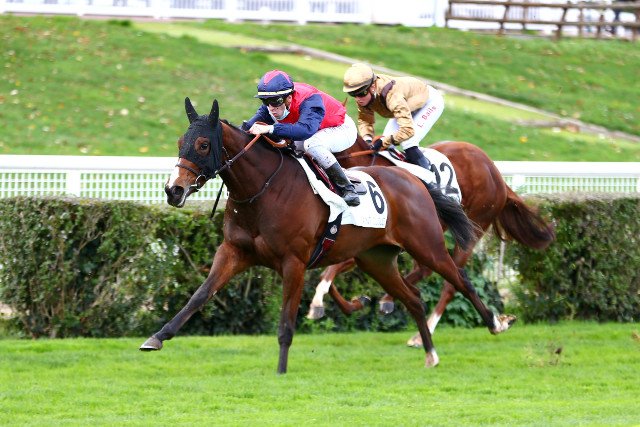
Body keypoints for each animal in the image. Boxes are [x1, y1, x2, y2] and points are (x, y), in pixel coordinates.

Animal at [139, 97, 516, 374]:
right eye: (181, 142)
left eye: (204, 145)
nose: (173, 190)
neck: (263, 190)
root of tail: (415, 180)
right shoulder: (233, 252)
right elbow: (199, 296)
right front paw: (157, 337)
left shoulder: (294, 262)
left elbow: (287, 321)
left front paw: (281, 370)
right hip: (376, 260)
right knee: (412, 298)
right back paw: (429, 352)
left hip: (428, 245)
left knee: (459, 279)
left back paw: (495, 322)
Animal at [307, 137, 555, 347]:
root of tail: (496, 173)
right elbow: (331, 270)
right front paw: (342, 302)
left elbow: (335, 267)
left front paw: (318, 302)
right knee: (426, 270)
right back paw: (390, 300)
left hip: (471, 227)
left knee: (451, 281)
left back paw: (421, 332)